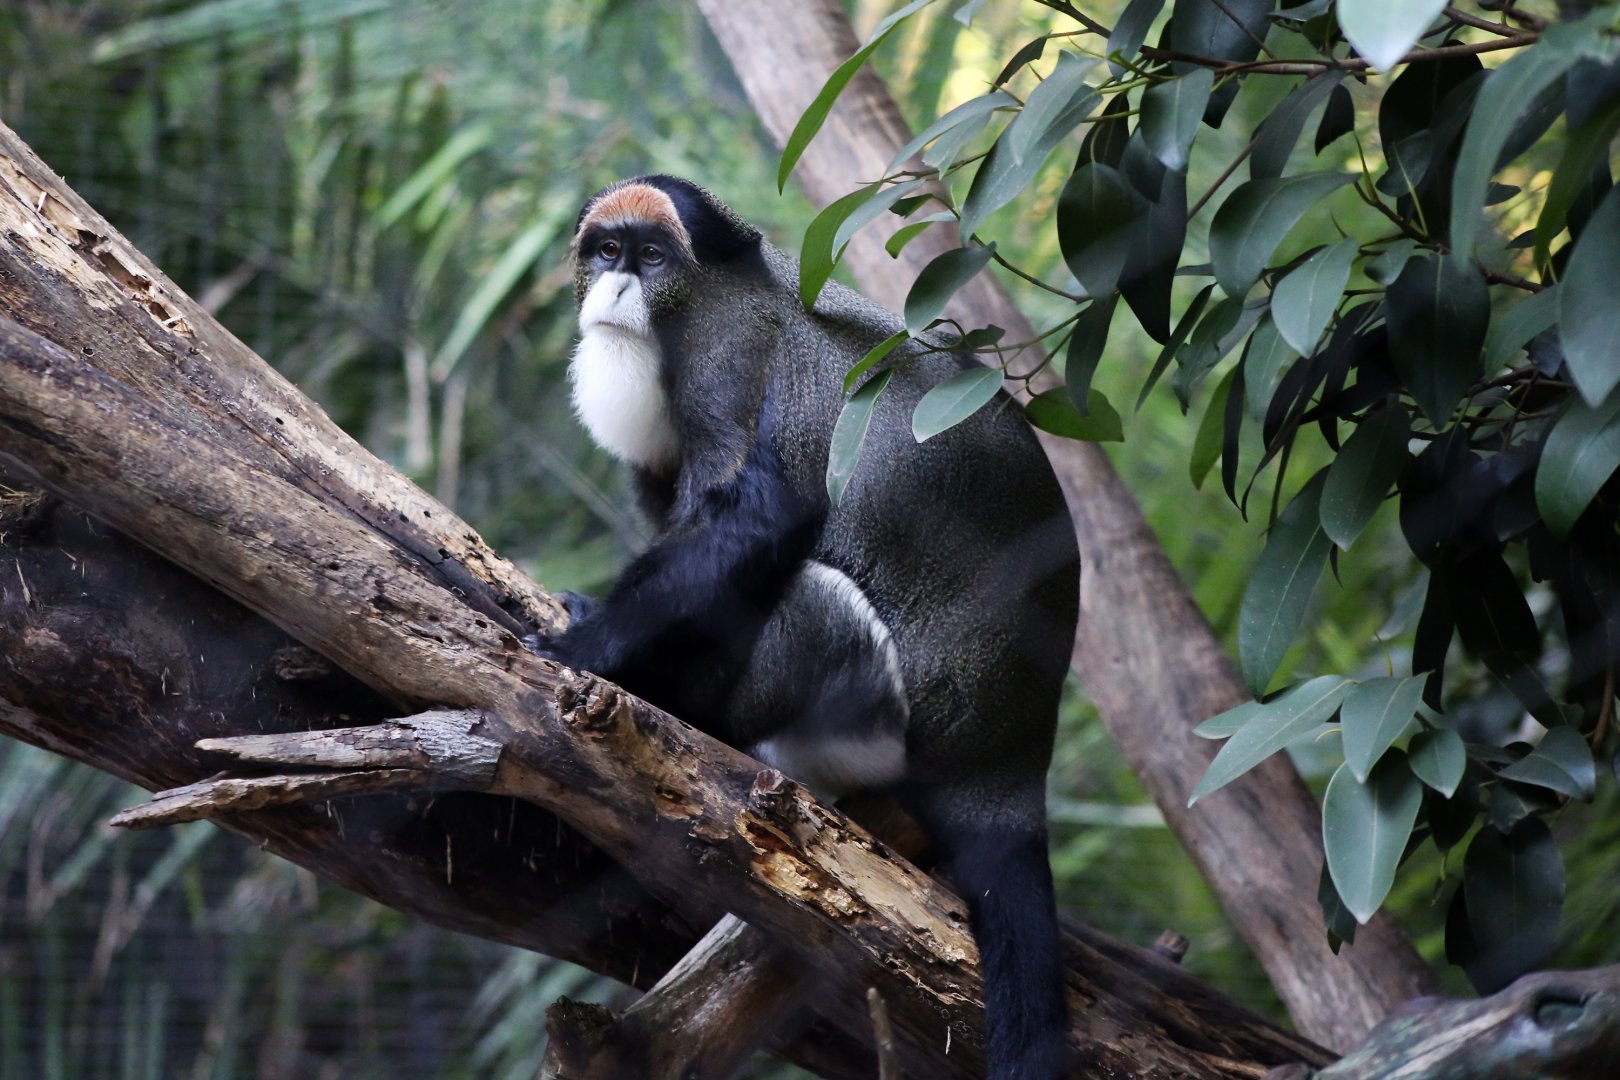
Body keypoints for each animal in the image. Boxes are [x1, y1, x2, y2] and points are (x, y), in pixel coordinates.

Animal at [532, 175, 1080, 1079]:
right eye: (605, 251)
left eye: (651, 258)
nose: (614, 286)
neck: (709, 291)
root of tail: (1009, 764)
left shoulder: (725, 363)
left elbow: (759, 518)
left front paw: (587, 647)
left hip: (875, 722)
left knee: (813, 598)